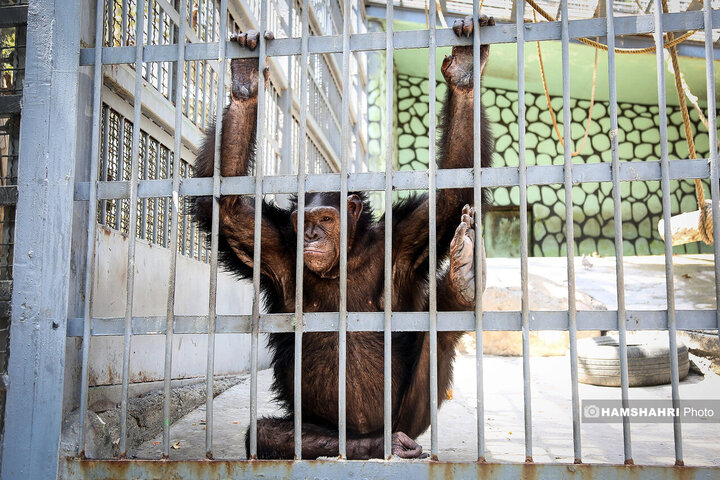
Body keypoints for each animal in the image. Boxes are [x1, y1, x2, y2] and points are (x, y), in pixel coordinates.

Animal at [191, 14, 496, 458]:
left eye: (327, 218)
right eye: (305, 221)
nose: (313, 236)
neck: (345, 259)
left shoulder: (405, 238)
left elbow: (454, 189)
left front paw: (465, 72)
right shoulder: (272, 245)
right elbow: (226, 206)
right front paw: (246, 81)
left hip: (414, 415)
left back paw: (463, 281)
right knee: (267, 435)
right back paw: (374, 445)